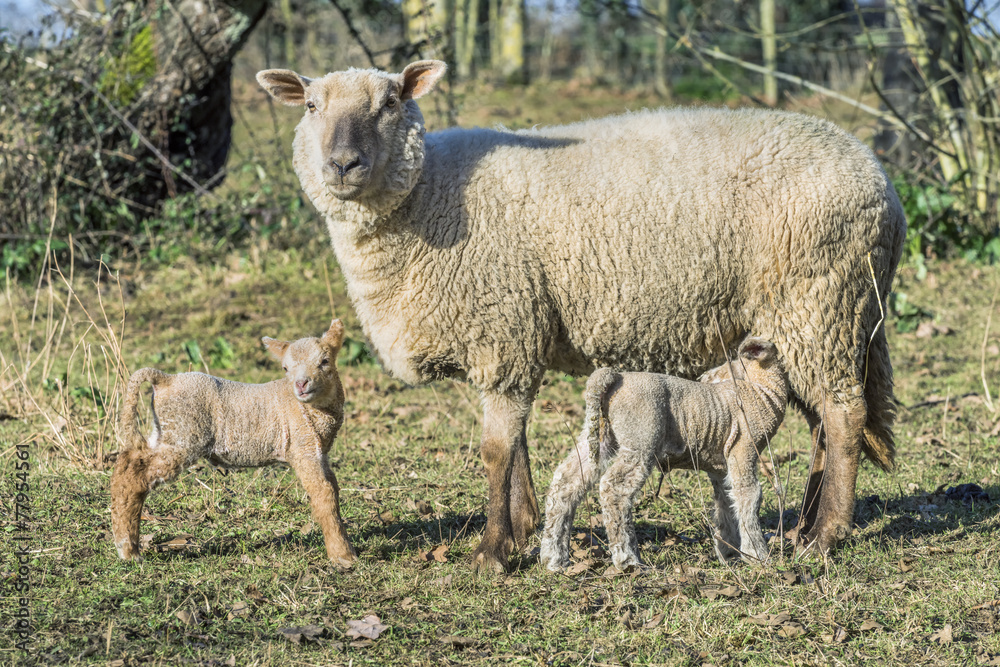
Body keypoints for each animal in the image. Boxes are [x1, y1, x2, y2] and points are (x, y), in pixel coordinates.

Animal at [110, 320, 356, 568]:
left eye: (325, 361)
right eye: (285, 368)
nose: (301, 384)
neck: (311, 409)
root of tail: (165, 379)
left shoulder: (319, 452)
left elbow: (334, 488)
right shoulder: (303, 447)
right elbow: (324, 493)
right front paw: (343, 556)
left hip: (164, 431)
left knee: (128, 462)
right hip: (183, 435)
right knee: (136, 478)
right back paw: (128, 549)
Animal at [540, 340, 788, 576]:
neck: (760, 391)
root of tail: (613, 377)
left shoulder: (719, 464)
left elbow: (725, 501)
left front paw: (729, 551)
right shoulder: (743, 448)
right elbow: (749, 496)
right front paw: (757, 554)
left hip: (599, 434)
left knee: (566, 482)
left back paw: (554, 558)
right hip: (640, 438)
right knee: (615, 489)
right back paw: (628, 560)